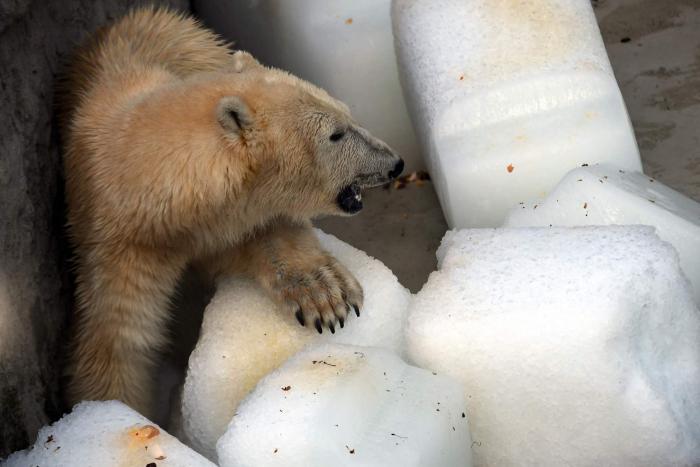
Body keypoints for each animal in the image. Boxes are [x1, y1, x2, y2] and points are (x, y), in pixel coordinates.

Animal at [58, 6, 403, 415]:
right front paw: (111, 412)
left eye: (348, 114)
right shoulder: (117, 245)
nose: (395, 163)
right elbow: (117, 341)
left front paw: (324, 293)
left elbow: (272, 232)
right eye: (335, 134)